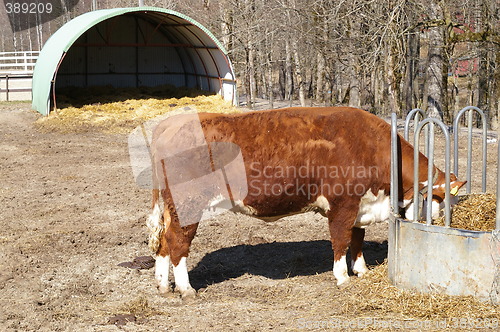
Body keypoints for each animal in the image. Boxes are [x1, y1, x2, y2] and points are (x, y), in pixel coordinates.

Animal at [146, 106, 464, 298]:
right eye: (440, 198)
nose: (436, 220)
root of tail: (169, 123)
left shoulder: (360, 204)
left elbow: (358, 238)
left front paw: (361, 269)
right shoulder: (342, 204)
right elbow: (341, 240)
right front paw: (342, 276)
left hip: (170, 208)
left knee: (163, 242)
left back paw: (162, 285)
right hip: (188, 205)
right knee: (177, 242)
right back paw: (185, 288)